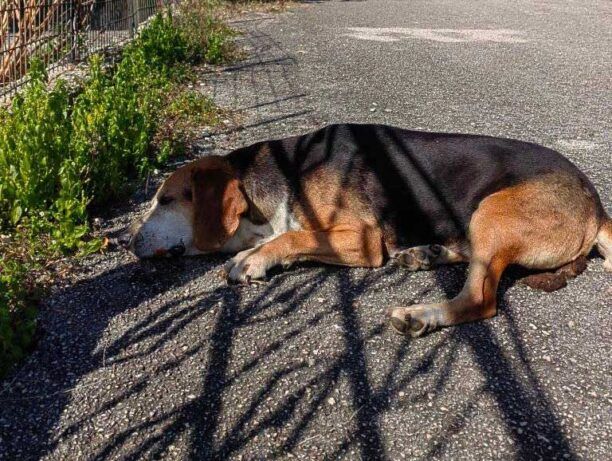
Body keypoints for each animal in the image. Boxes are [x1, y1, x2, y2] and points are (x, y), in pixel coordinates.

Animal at [120, 124, 612, 336]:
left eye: (165, 200)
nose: (128, 242)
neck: (286, 172)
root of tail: (598, 206)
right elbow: (290, 236)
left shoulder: (362, 238)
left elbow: (294, 237)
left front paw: (254, 259)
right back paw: (427, 254)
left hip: (492, 209)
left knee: (481, 299)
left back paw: (420, 314)